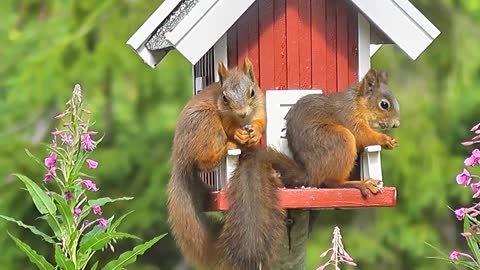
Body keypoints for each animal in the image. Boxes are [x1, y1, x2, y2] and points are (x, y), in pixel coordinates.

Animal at [169, 57, 296, 270]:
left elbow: (261, 121)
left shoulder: (260, 106)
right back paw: (227, 146)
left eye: (252, 92)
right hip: (207, 122)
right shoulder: (222, 115)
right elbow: (229, 127)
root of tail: (180, 157)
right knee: (204, 162)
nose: (243, 113)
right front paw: (237, 133)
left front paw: (255, 133)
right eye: (224, 98)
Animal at [284, 68, 402, 197]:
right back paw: (360, 183)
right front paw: (384, 139)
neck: (357, 104)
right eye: (384, 104)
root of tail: (311, 173)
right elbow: (361, 135)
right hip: (340, 139)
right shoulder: (348, 116)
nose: (396, 125)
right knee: (332, 182)